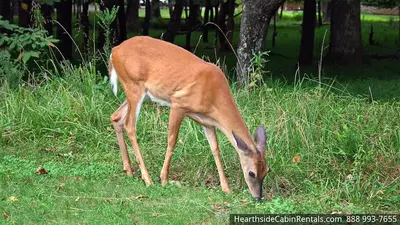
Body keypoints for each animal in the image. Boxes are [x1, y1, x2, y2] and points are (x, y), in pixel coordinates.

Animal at [108, 36, 270, 200]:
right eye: (252, 173)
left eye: (267, 170)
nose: (258, 197)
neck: (214, 96)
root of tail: (115, 50)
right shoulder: (178, 104)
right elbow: (172, 140)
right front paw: (163, 178)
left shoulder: (208, 122)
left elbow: (215, 149)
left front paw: (226, 188)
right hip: (133, 85)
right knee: (129, 125)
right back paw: (147, 178)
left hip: (138, 93)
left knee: (116, 117)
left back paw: (128, 170)